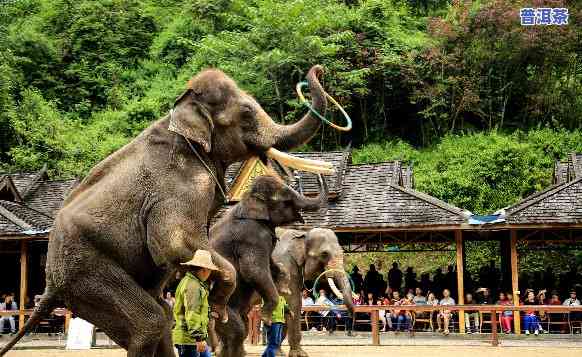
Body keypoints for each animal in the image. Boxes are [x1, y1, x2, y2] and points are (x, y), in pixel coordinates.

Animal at [210, 173, 328, 356]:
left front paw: (284, 288)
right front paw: (266, 317)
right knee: (237, 331)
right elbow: (254, 271)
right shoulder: (252, 236)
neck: (247, 201)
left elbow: (273, 265)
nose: (318, 174)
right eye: (286, 200)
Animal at [274, 228, 356, 356]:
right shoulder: (285, 266)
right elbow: (293, 302)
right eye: (324, 254)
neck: (303, 234)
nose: (350, 333)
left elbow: (293, 305)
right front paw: (298, 354)